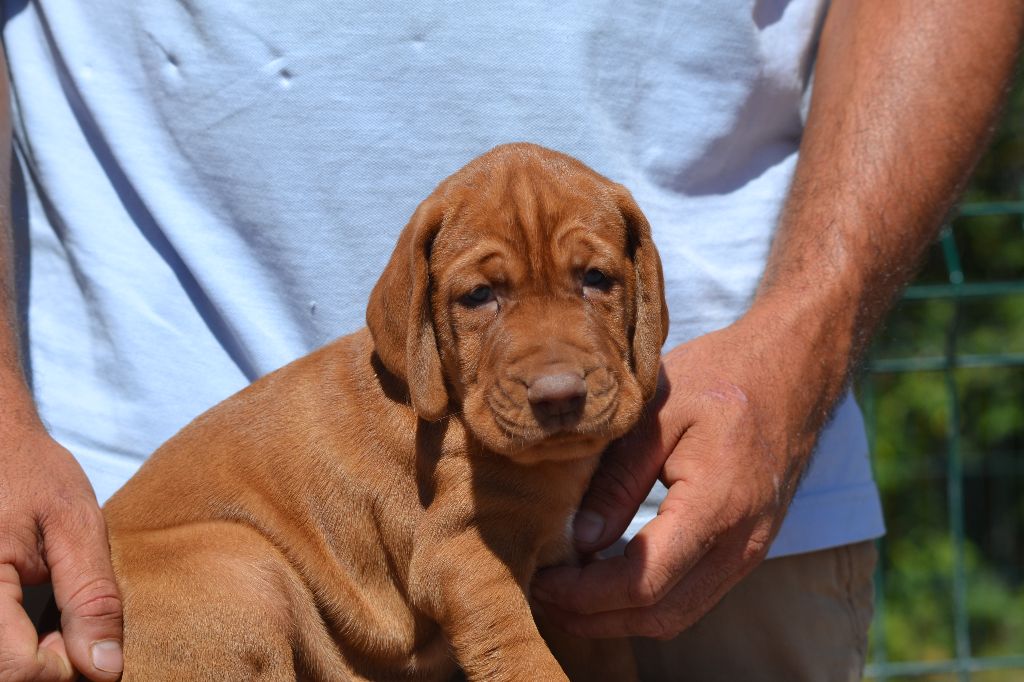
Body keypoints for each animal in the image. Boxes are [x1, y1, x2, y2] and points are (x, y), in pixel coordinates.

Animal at [101, 140, 663, 675]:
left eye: (596, 279)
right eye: (480, 295)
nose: (559, 394)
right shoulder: (463, 560)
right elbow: (527, 661)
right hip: (241, 570)